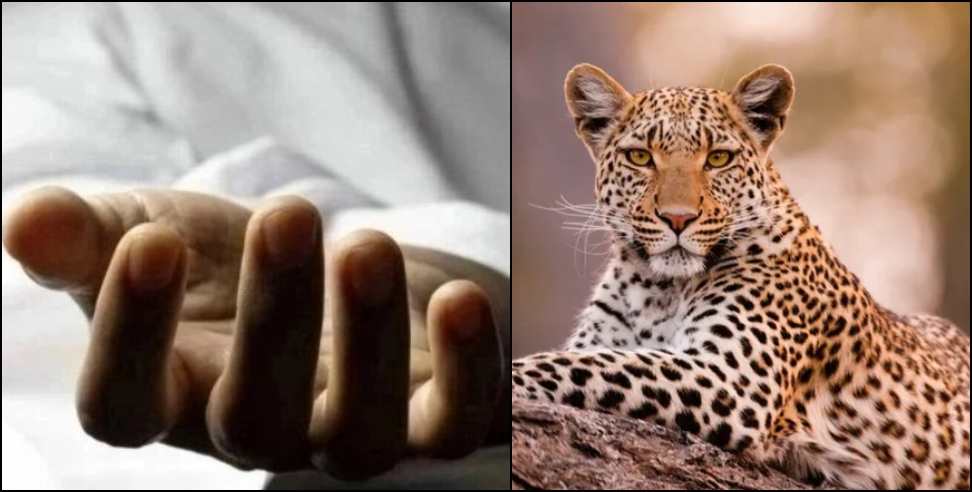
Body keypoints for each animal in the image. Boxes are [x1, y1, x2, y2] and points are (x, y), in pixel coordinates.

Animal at [512, 63, 971, 489]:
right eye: (640, 157)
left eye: (719, 159)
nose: (678, 219)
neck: (657, 290)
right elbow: (588, 356)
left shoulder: (732, 379)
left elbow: (582, 365)